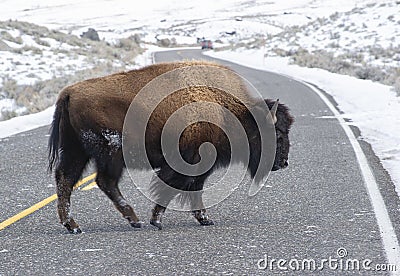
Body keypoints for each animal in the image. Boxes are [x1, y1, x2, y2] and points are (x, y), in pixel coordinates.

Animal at [49, 60, 294, 233]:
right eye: (278, 134)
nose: (283, 162)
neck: (229, 111)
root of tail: (69, 93)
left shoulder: (200, 167)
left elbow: (193, 189)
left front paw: (205, 219)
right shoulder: (190, 161)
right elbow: (173, 186)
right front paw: (156, 220)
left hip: (76, 151)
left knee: (66, 179)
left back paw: (74, 226)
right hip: (111, 153)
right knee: (104, 181)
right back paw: (134, 220)